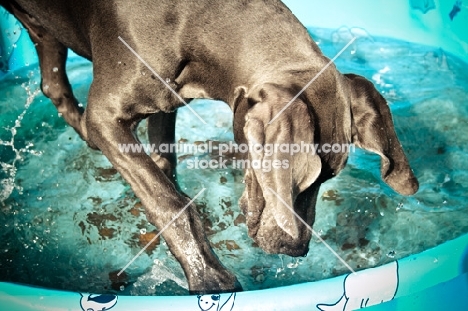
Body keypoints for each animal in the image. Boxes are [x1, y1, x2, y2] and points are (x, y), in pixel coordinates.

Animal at [1, 0, 418, 294]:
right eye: (302, 178)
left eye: (329, 178)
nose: (297, 249)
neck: (190, 25)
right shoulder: (106, 117)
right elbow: (169, 200)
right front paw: (208, 278)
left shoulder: (163, 105)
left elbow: (163, 171)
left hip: (43, 28)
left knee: (53, 82)